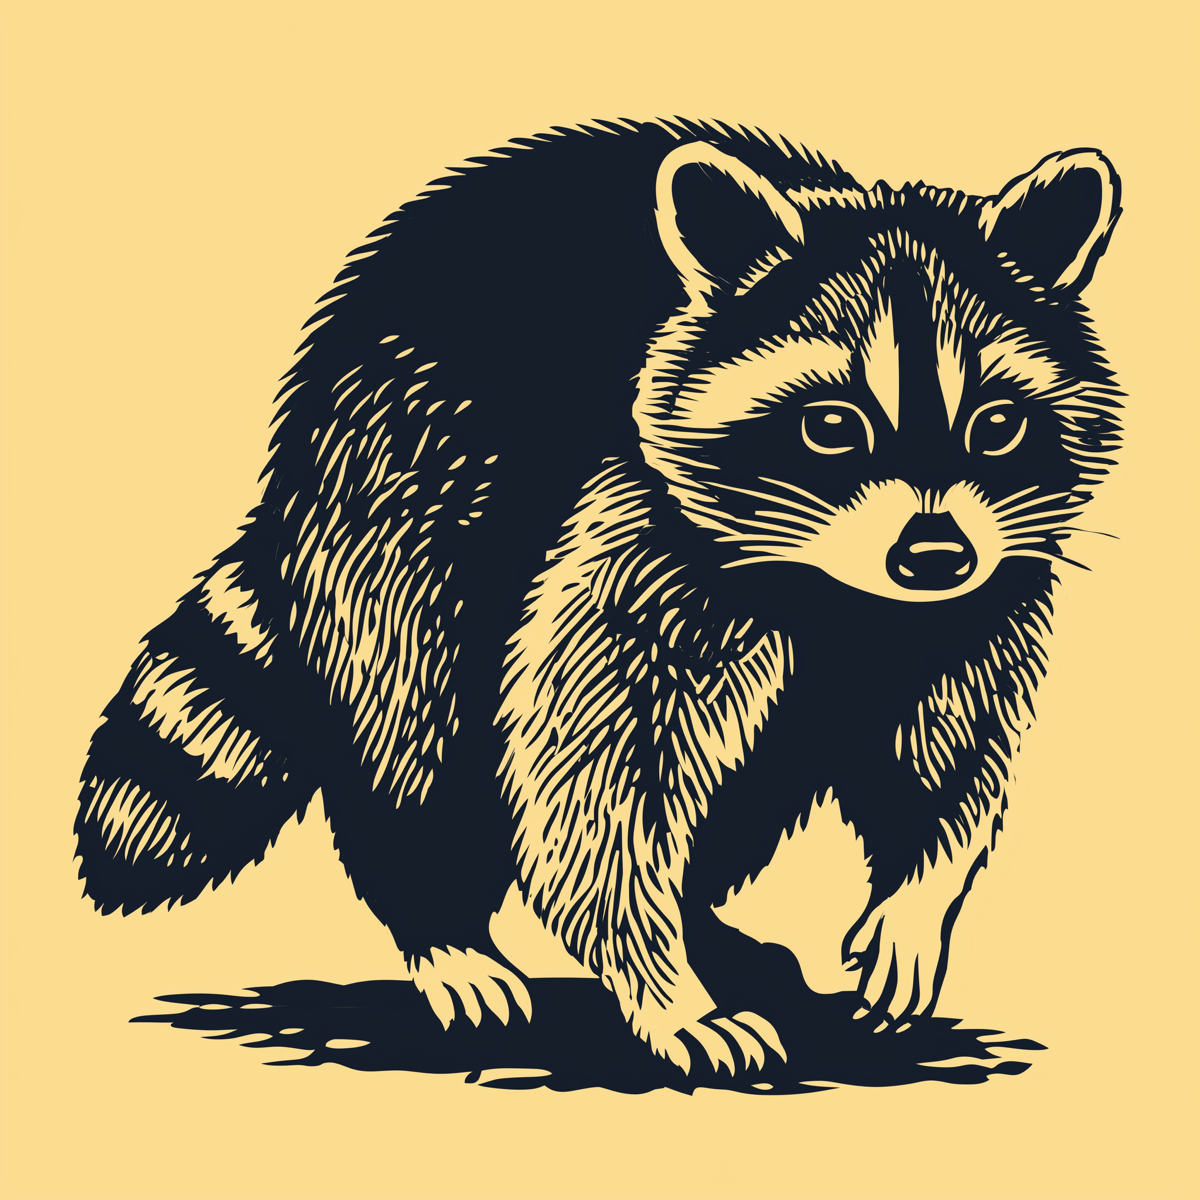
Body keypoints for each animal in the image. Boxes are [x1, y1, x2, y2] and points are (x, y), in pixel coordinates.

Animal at [76, 120, 1122, 1076]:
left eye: (997, 424)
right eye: (831, 425)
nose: (934, 553)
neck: (839, 592)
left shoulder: (982, 591)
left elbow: (950, 747)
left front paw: (917, 896)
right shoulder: (638, 535)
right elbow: (596, 779)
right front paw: (660, 986)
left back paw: (707, 923)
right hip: (394, 497)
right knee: (413, 714)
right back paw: (442, 922)